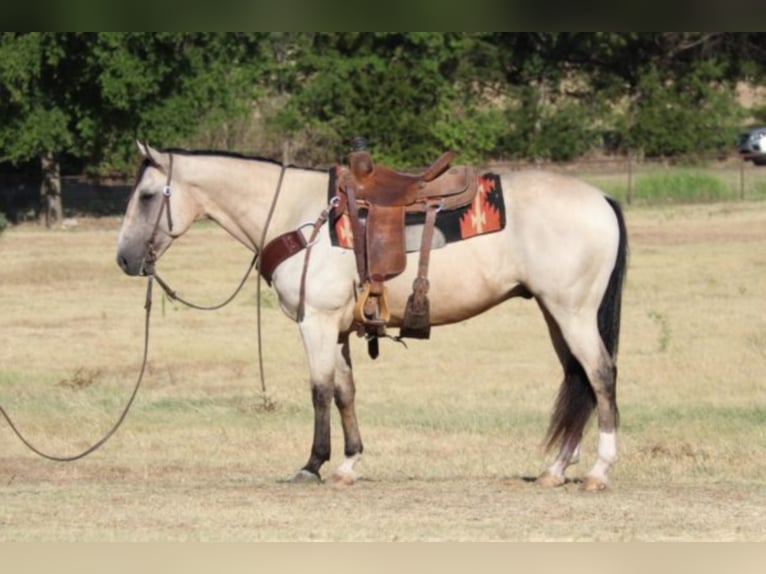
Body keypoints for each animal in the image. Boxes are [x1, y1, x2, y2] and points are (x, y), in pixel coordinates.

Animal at [117, 142, 628, 492]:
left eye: (147, 196)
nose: (124, 259)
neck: (299, 216)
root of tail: (603, 199)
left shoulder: (316, 323)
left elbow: (320, 390)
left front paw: (312, 464)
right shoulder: (340, 329)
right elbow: (345, 391)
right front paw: (348, 463)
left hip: (573, 313)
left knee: (600, 374)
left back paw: (600, 470)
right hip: (554, 312)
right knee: (579, 379)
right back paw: (556, 469)